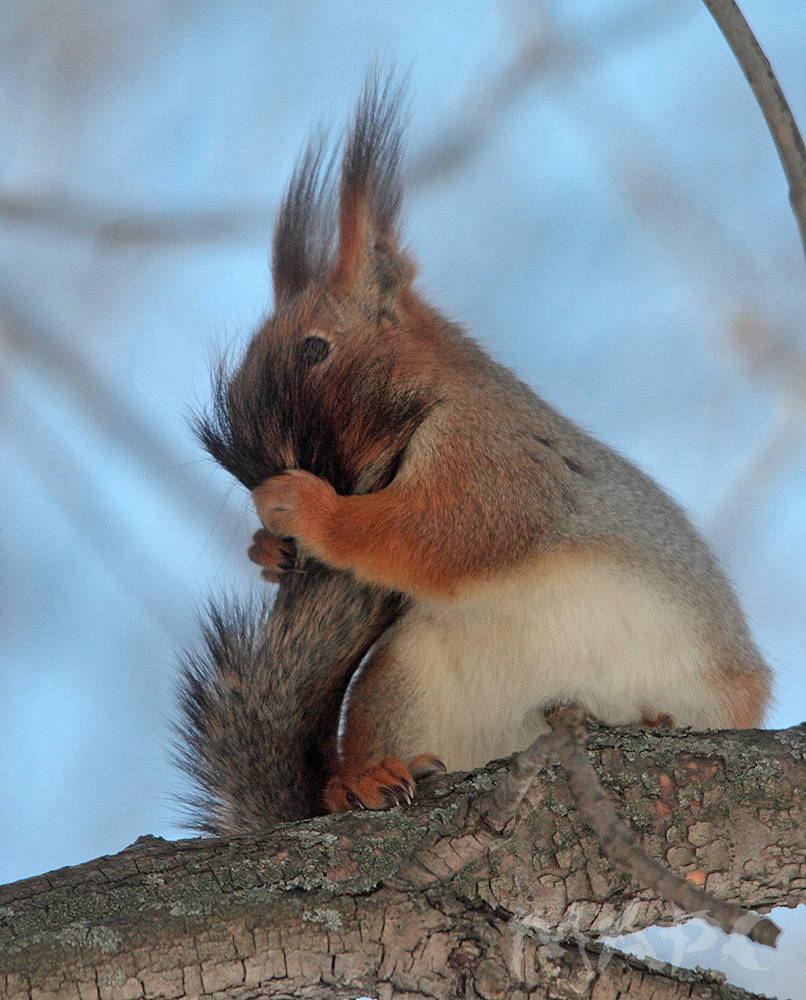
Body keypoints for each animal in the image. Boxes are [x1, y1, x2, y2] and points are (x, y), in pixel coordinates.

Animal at [175, 68, 772, 836]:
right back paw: (359, 782)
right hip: (402, 681)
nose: (277, 470)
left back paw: (658, 718)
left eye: (314, 349)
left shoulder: (495, 462)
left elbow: (441, 532)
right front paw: (268, 550)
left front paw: (300, 505)